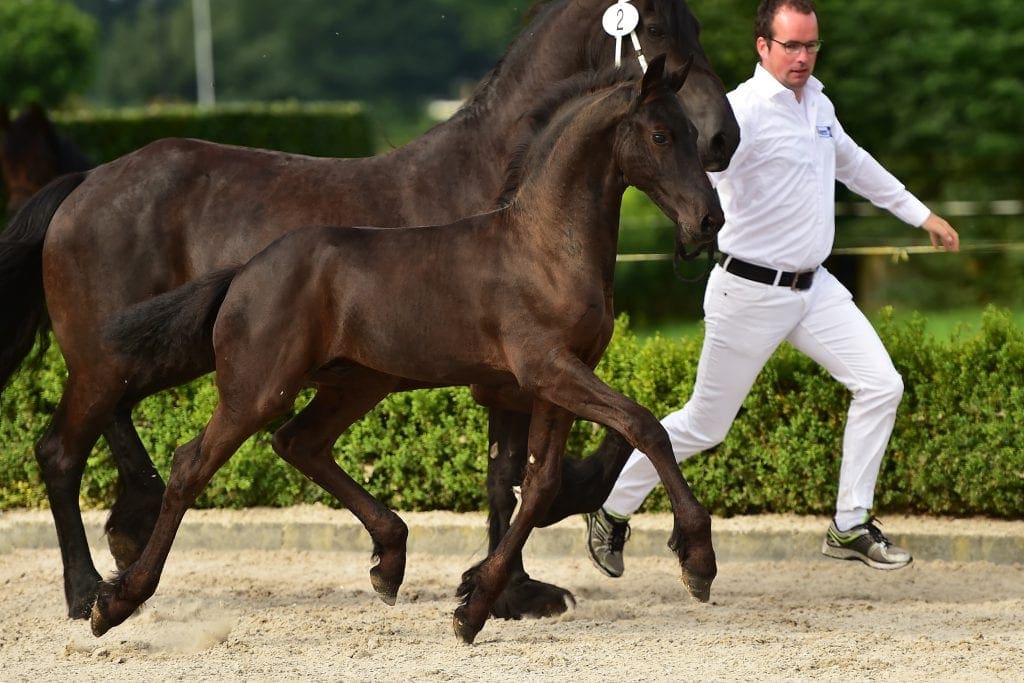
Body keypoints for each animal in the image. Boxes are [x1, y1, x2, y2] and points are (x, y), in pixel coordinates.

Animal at [0, 0, 738, 622]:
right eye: (657, 33)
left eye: (700, 26)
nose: (722, 147)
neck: (528, 226)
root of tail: (82, 184)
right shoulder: (529, 372)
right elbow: (587, 449)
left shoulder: (536, 378)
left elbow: (529, 478)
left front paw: (496, 590)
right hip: (185, 372)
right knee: (92, 453)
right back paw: (96, 592)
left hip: (309, 374)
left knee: (259, 440)